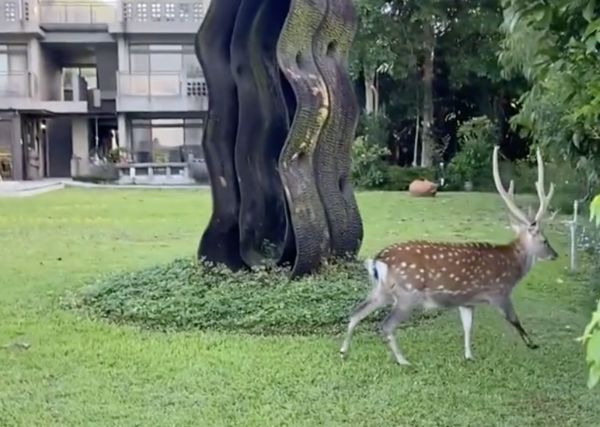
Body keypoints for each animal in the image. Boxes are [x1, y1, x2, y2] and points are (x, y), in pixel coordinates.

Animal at [340, 146, 560, 364]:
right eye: (545, 241)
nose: (555, 255)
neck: (513, 264)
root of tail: (377, 261)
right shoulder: (499, 292)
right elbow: (515, 320)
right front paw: (532, 344)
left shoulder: (467, 301)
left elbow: (468, 327)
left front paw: (469, 356)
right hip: (407, 294)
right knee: (386, 325)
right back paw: (403, 361)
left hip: (381, 291)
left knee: (356, 312)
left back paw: (344, 351)